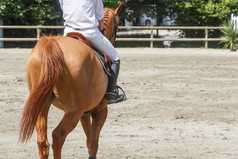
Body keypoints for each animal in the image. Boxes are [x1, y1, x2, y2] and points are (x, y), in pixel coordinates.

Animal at [19, 2, 123, 159]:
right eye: (117, 26)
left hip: (43, 104)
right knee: (58, 136)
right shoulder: (99, 110)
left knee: (43, 141)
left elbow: (88, 141)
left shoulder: (84, 113)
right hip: (73, 111)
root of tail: (51, 44)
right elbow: (93, 143)